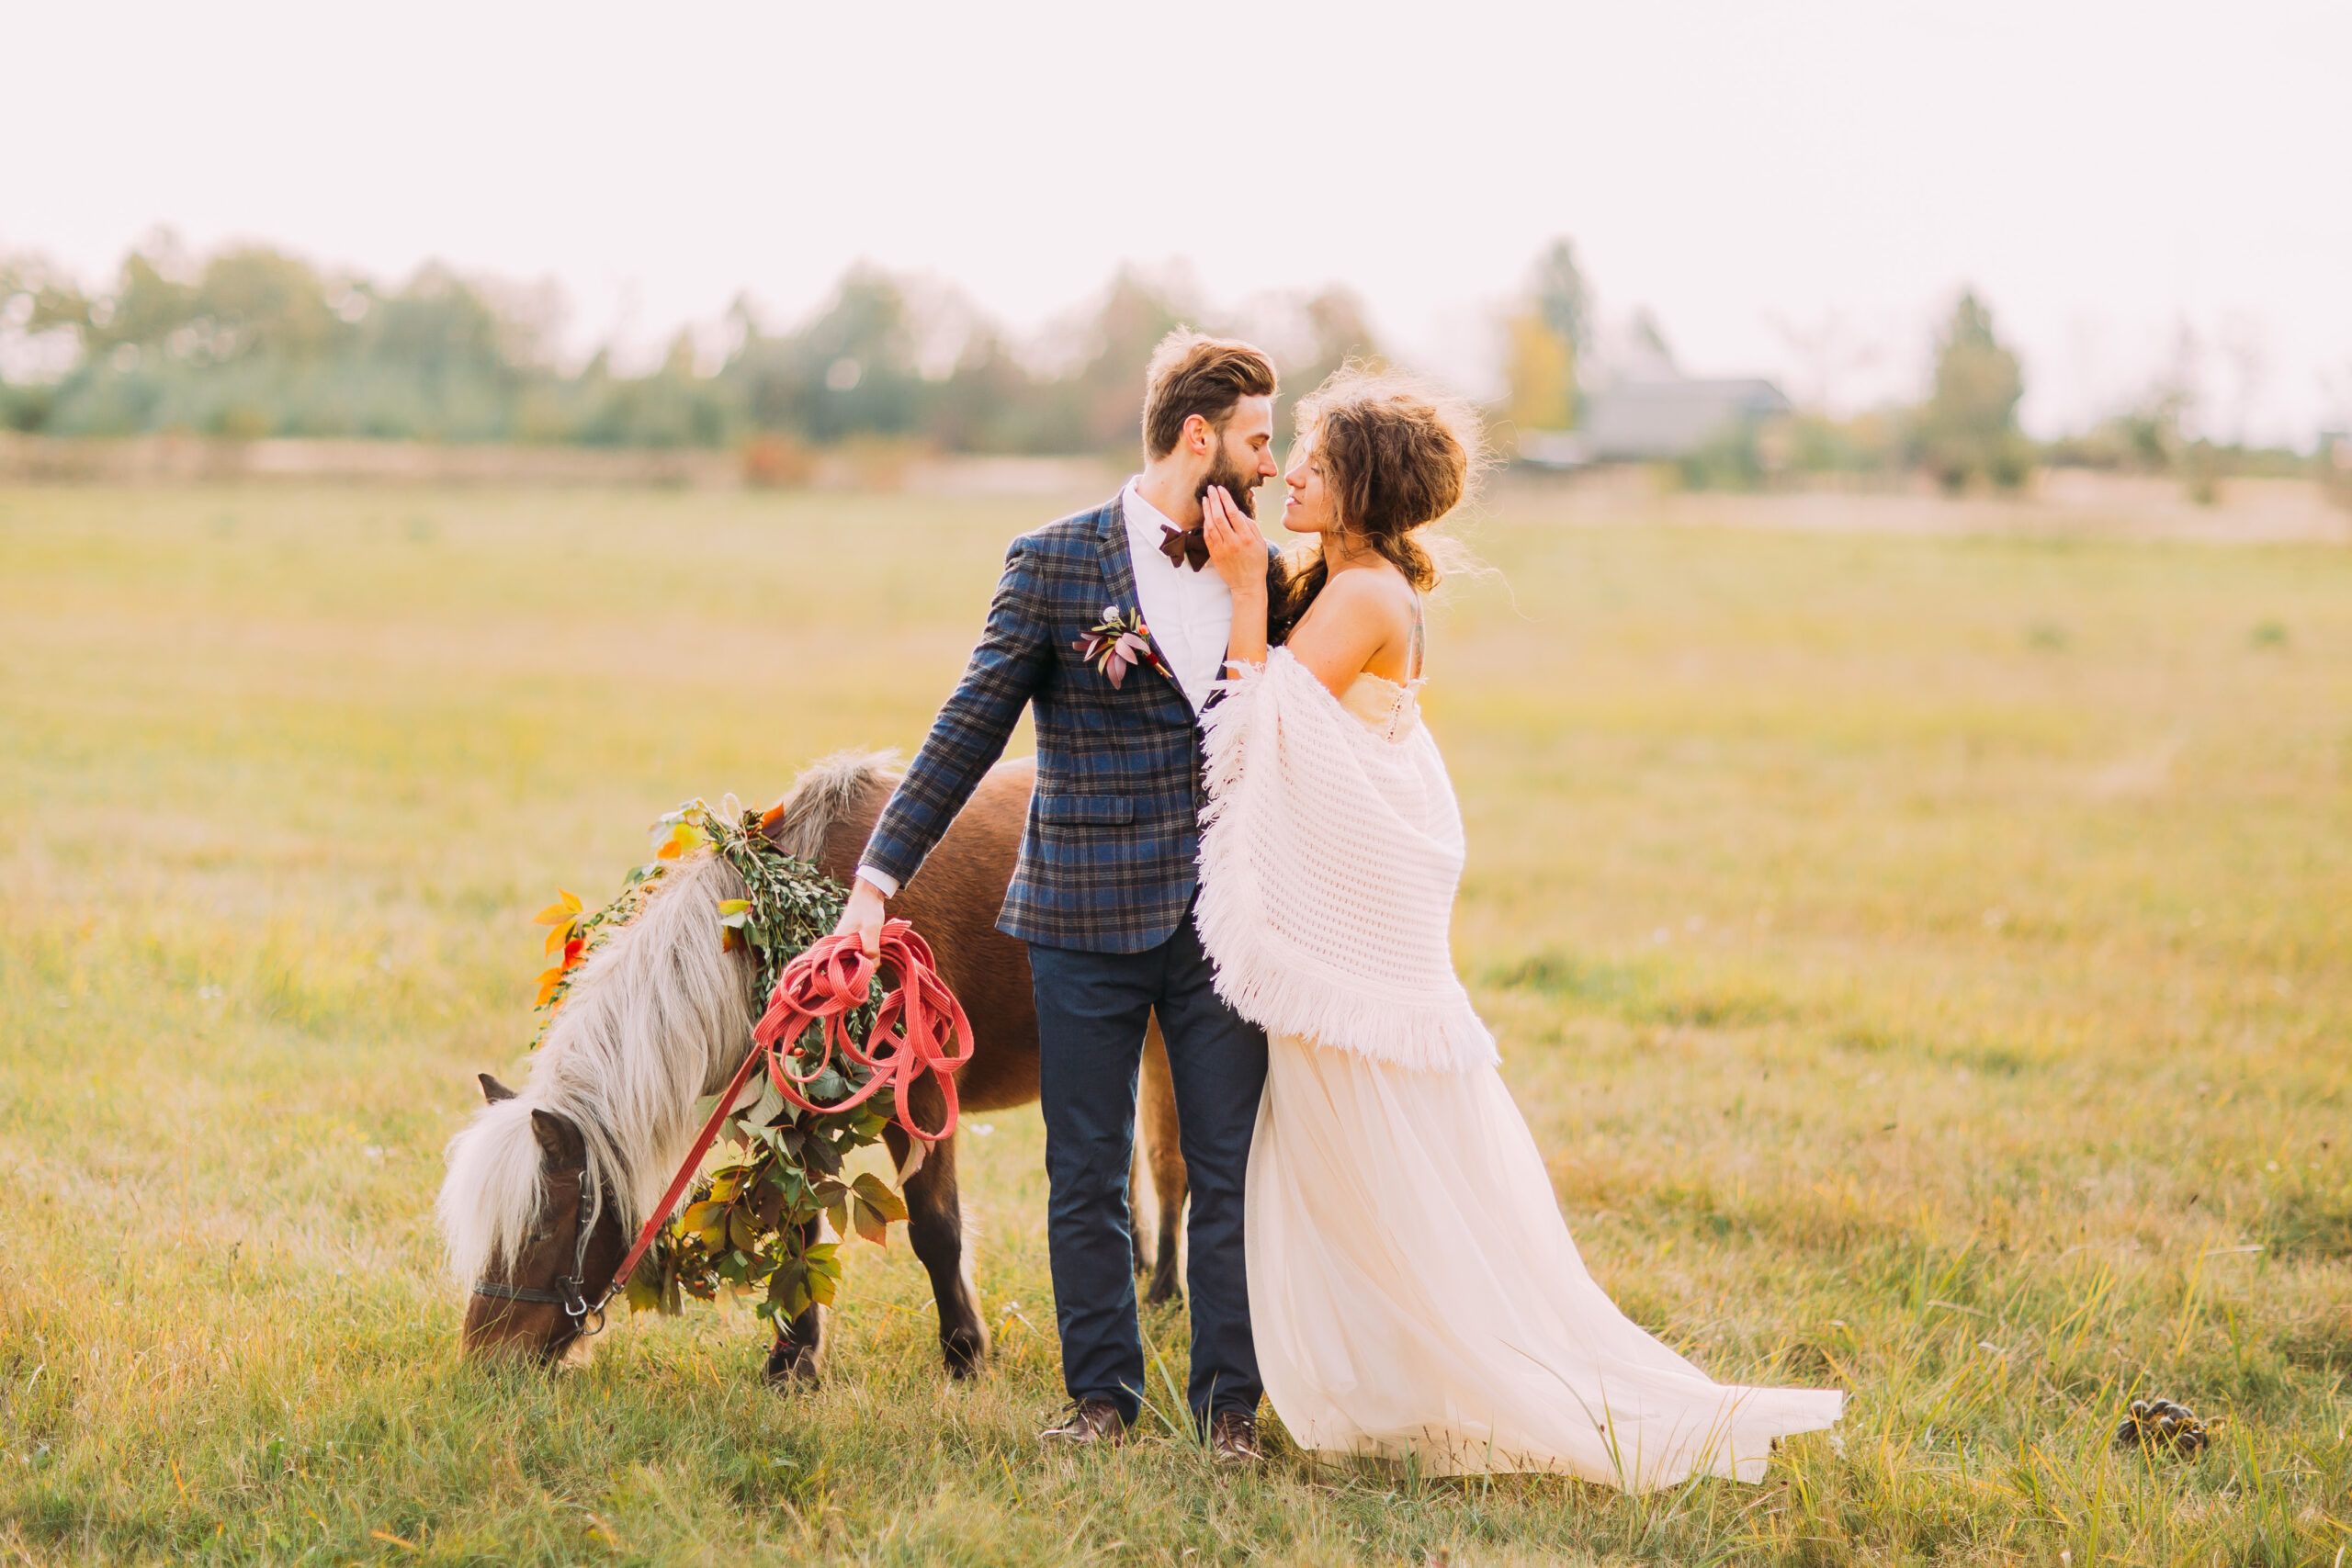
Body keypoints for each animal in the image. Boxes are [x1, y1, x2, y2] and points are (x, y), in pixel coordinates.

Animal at [435, 751, 1185, 1382]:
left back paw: (1164, 1292)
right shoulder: (794, 1116)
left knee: (1169, 1169)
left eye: (537, 1228)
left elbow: (936, 1229)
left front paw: (964, 1354)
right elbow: (799, 1229)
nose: (485, 1360)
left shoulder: (922, 1103)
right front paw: (793, 1362)